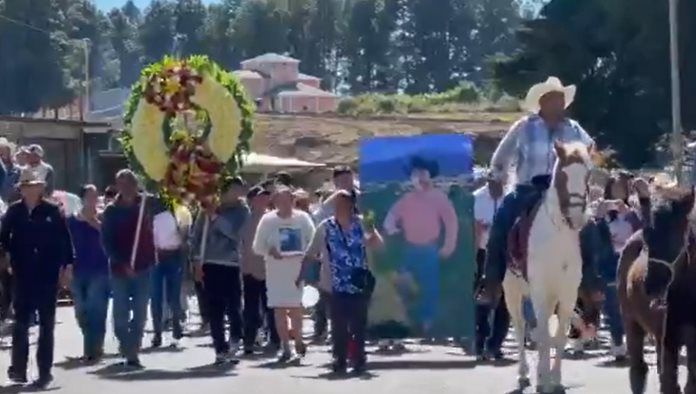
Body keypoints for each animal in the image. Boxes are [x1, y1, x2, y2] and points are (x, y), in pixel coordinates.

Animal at [500, 140, 592, 392]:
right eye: (562, 175)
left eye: (588, 175)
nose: (577, 216)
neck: (556, 236)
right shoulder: (539, 292)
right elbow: (540, 333)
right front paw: (542, 379)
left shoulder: (568, 294)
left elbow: (558, 336)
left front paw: (555, 379)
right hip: (512, 292)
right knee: (520, 327)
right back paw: (523, 374)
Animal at [616, 188, 696, 394]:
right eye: (647, 235)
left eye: (676, 230)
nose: (652, 285)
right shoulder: (671, 339)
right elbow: (671, 383)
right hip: (631, 320)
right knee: (638, 369)